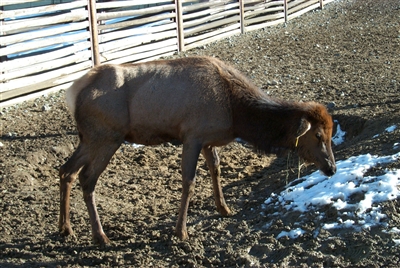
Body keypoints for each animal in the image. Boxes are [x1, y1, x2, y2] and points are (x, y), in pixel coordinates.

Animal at [58, 56, 334, 245]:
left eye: (331, 134)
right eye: (318, 135)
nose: (331, 167)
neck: (236, 114)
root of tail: (72, 93)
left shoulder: (208, 141)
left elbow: (216, 170)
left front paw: (224, 209)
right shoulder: (192, 135)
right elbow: (189, 182)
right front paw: (181, 231)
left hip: (88, 138)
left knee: (66, 170)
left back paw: (65, 228)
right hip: (107, 136)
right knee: (87, 178)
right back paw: (100, 236)